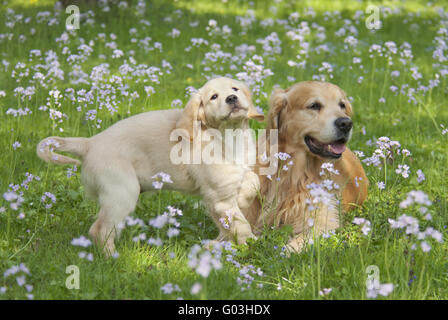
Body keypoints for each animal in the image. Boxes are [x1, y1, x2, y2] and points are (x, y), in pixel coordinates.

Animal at [37, 77, 266, 255]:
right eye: (214, 97)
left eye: (235, 89)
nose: (231, 98)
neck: (230, 136)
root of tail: (90, 143)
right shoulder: (219, 197)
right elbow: (240, 224)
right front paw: (250, 244)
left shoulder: (230, 183)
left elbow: (251, 182)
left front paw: (240, 205)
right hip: (123, 193)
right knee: (100, 229)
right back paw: (112, 258)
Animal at [245, 80, 368, 252]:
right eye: (314, 105)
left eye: (342, 105)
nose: (346, 123)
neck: (293, 176)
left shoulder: (323, 222)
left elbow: (293, 246)